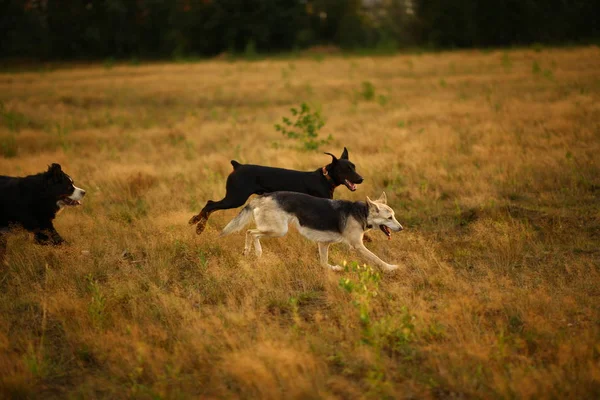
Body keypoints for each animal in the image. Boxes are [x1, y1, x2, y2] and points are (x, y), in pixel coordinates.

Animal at [190, 147, 364, 234]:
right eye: (346, 169)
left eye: (354, 167)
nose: (361, 179)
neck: (326, 178)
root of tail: (237, 166)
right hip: (236, 197)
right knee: (211, 204)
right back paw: (198, 226)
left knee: (211, 205)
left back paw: (196, 222)